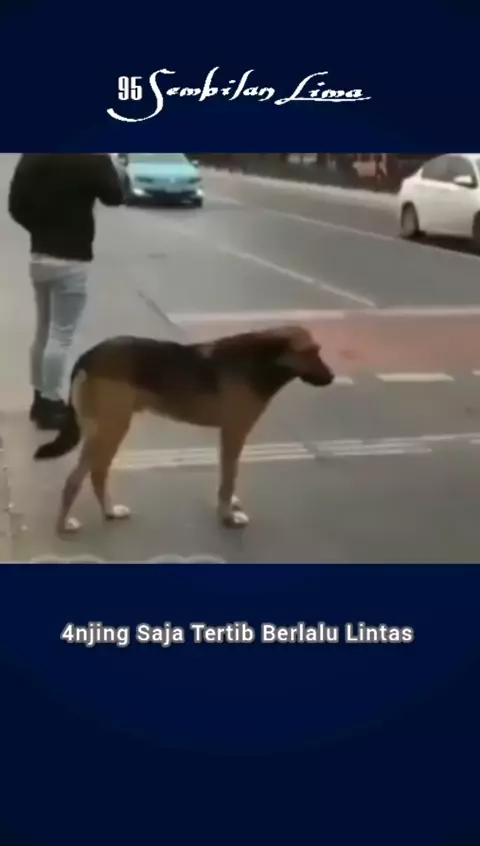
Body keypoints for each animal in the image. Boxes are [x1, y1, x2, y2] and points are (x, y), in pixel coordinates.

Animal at [34, 325, 334, 535]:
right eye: (311, 351)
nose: (332, 378)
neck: (263, 360)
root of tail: (88, 356)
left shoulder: (229, 435)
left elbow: (228, 476)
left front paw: (229, 504)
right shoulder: (233, 432)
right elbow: (229, 478)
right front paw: (227, 515)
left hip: (106, 428)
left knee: (97, 473)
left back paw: (110, 511)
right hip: (111, 427)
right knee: (76, 479)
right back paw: (64, 525)